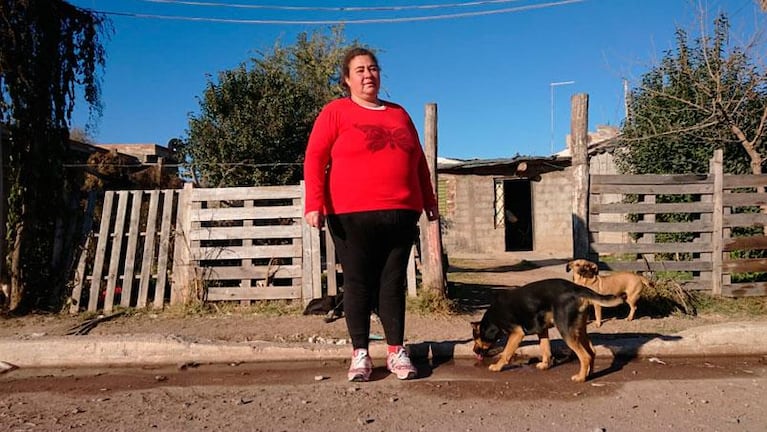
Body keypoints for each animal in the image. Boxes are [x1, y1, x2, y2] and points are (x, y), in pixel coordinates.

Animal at [472, 276, 628, 382]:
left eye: (476, 337)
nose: (474, 351)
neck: (494, 316)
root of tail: (578, 289)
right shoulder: (542, 330)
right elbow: (545, 348)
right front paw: (545, 365)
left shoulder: (517, 333)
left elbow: (506, 353)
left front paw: (497, 367)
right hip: (579, 329)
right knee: (592, 352)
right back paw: (589, 374)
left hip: (566, 330)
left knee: (585, 356)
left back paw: (581, 378)